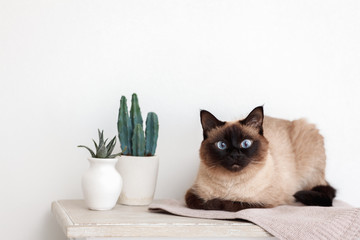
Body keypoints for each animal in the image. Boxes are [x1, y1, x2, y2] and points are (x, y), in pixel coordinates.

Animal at [184, 106, 336, 211]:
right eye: (222, 145)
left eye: (246, 143)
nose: (234, 155)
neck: (231, 184)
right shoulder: (192, 194)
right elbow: (210, 203)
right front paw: (217, 202)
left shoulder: (262, 203)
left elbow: (232, 204)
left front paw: (224, 202)